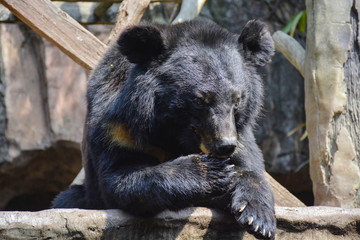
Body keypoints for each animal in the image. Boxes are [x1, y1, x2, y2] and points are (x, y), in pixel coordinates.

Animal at [52, 19, 276, 239]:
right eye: (200, 101)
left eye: (237, 100)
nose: (225, 146)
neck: (174, 132)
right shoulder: (118, 128)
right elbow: (121, 176)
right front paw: (209, 171)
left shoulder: (241, 132)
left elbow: (248, 167)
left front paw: (258, 219)